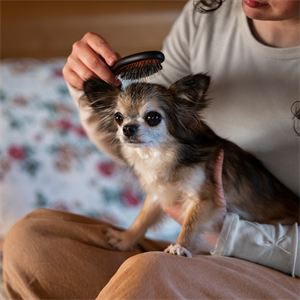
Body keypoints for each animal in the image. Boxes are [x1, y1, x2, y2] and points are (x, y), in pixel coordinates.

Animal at [82, 73, 300, 258]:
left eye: (153, 117)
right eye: (118, 117)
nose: (127, 128)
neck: (162, 154)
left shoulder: (203, 200)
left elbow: (190, 224)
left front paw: (180, 247)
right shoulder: (157, 195)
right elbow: (142, 218)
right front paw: (125, 239)